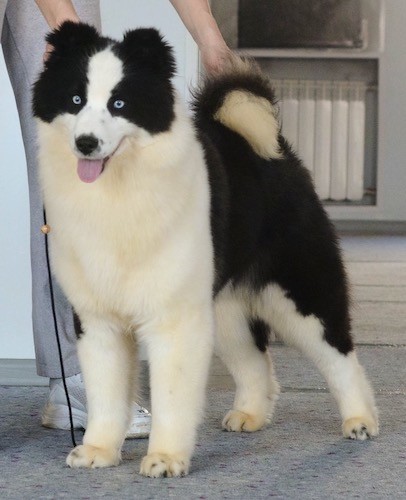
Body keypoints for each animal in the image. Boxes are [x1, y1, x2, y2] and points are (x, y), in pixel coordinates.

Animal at [32, 23, 378, 476]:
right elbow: (105, 392)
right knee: (255, 359)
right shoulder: (98, 317)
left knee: (338, 354)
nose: (86, 142)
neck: (120, 191)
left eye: (119, 103)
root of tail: (273, 147)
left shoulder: (174, 317)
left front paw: (165, 458)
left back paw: (360, 419)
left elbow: (171, 396)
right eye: (75, 100)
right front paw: (99, 449)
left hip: (299, 289)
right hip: (225, 304)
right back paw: (250, 414)